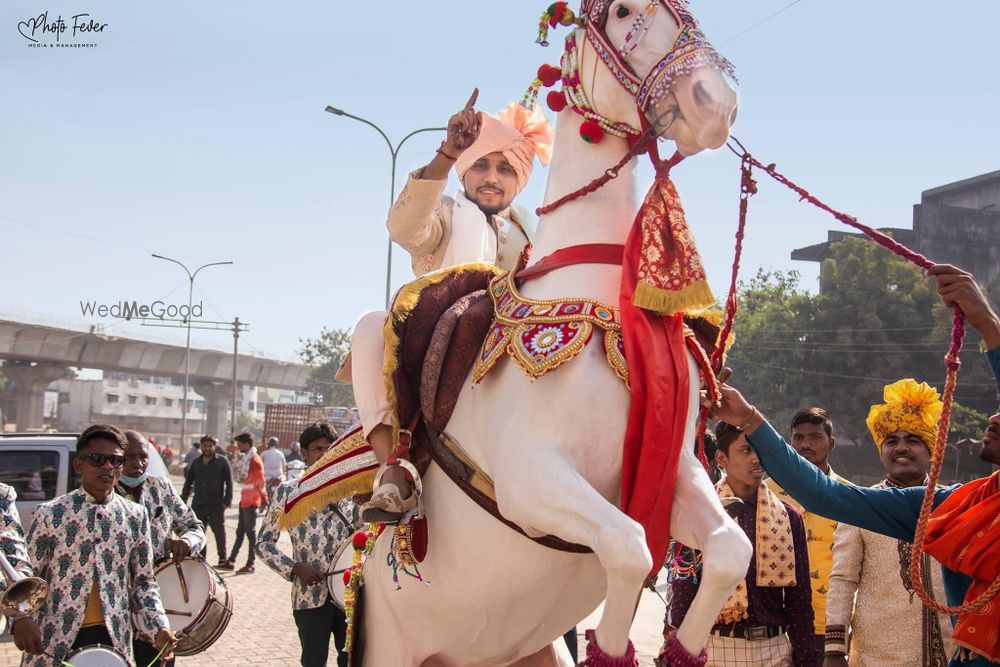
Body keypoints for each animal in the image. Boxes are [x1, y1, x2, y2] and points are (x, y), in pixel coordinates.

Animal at [360, 2, 752, 664]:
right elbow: (629, 548)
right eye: (622, 12)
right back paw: (393, 487)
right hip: (388, 642)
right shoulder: (529, 479)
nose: (712, 101)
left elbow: (730, 550)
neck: (599, 307)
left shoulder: (678, 474)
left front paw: (677, 647)